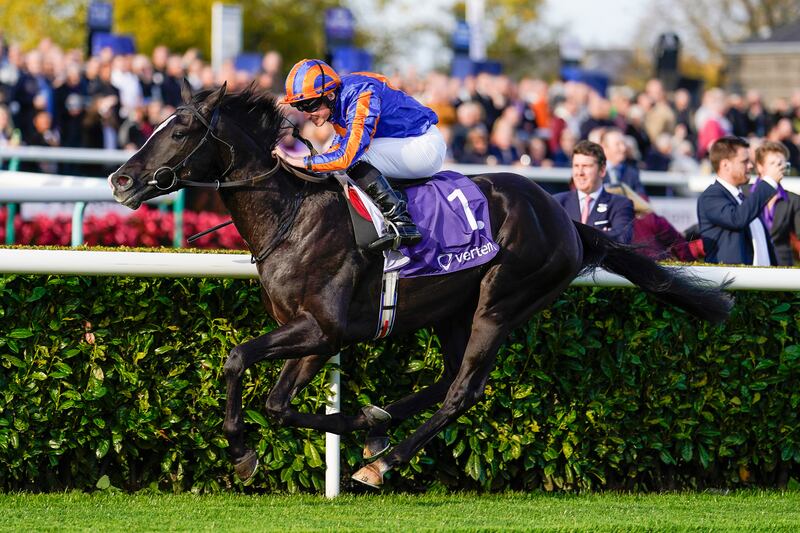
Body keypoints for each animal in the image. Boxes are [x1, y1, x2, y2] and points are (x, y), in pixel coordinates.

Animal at [106, 81, 732, 488]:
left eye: (181, 129)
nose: (120, 180)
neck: (293, 215)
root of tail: (562, 217)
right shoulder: (315, 335)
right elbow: (279, 404)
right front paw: (356, 422)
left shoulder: (323, 328)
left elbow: (238, 359)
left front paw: (241, 450)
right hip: (454, 310)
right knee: (448, 377)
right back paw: (379, 427)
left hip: (501, 302)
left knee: (464, 391)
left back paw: (384, 462)